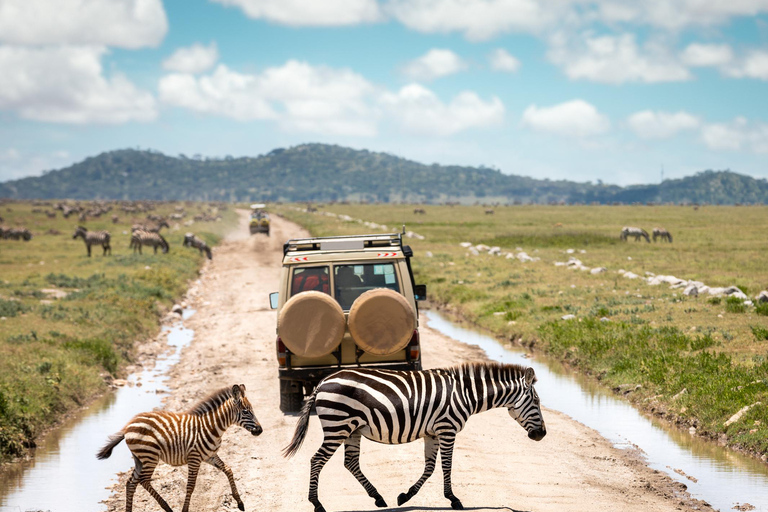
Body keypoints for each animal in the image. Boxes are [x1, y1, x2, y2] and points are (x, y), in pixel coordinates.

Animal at [96, 384, 262, 512]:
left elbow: (228, 470)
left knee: (131, 483)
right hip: (150, 456)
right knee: (143, 480)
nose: (260, 430)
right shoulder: (194, 458)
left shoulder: (210, 456)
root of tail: (128, 426)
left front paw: (240, 502)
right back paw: (167, 508)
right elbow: (190, 486)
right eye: (246, 412)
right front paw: (184, 509)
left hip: (140, 459)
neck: (212, 428)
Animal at [284, 360, 544, 512]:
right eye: (536, 401)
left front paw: (405, 496)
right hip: (338, 425)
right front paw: (454, 500)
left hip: (352, 429)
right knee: (317, 460)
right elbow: (446, 465)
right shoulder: (447, 428)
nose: (542, 434)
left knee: (350, 462)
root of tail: (323, 382)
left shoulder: (432, 433)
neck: (465, 394)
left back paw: (378, 498)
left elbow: (429, 467)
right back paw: (317, 504)